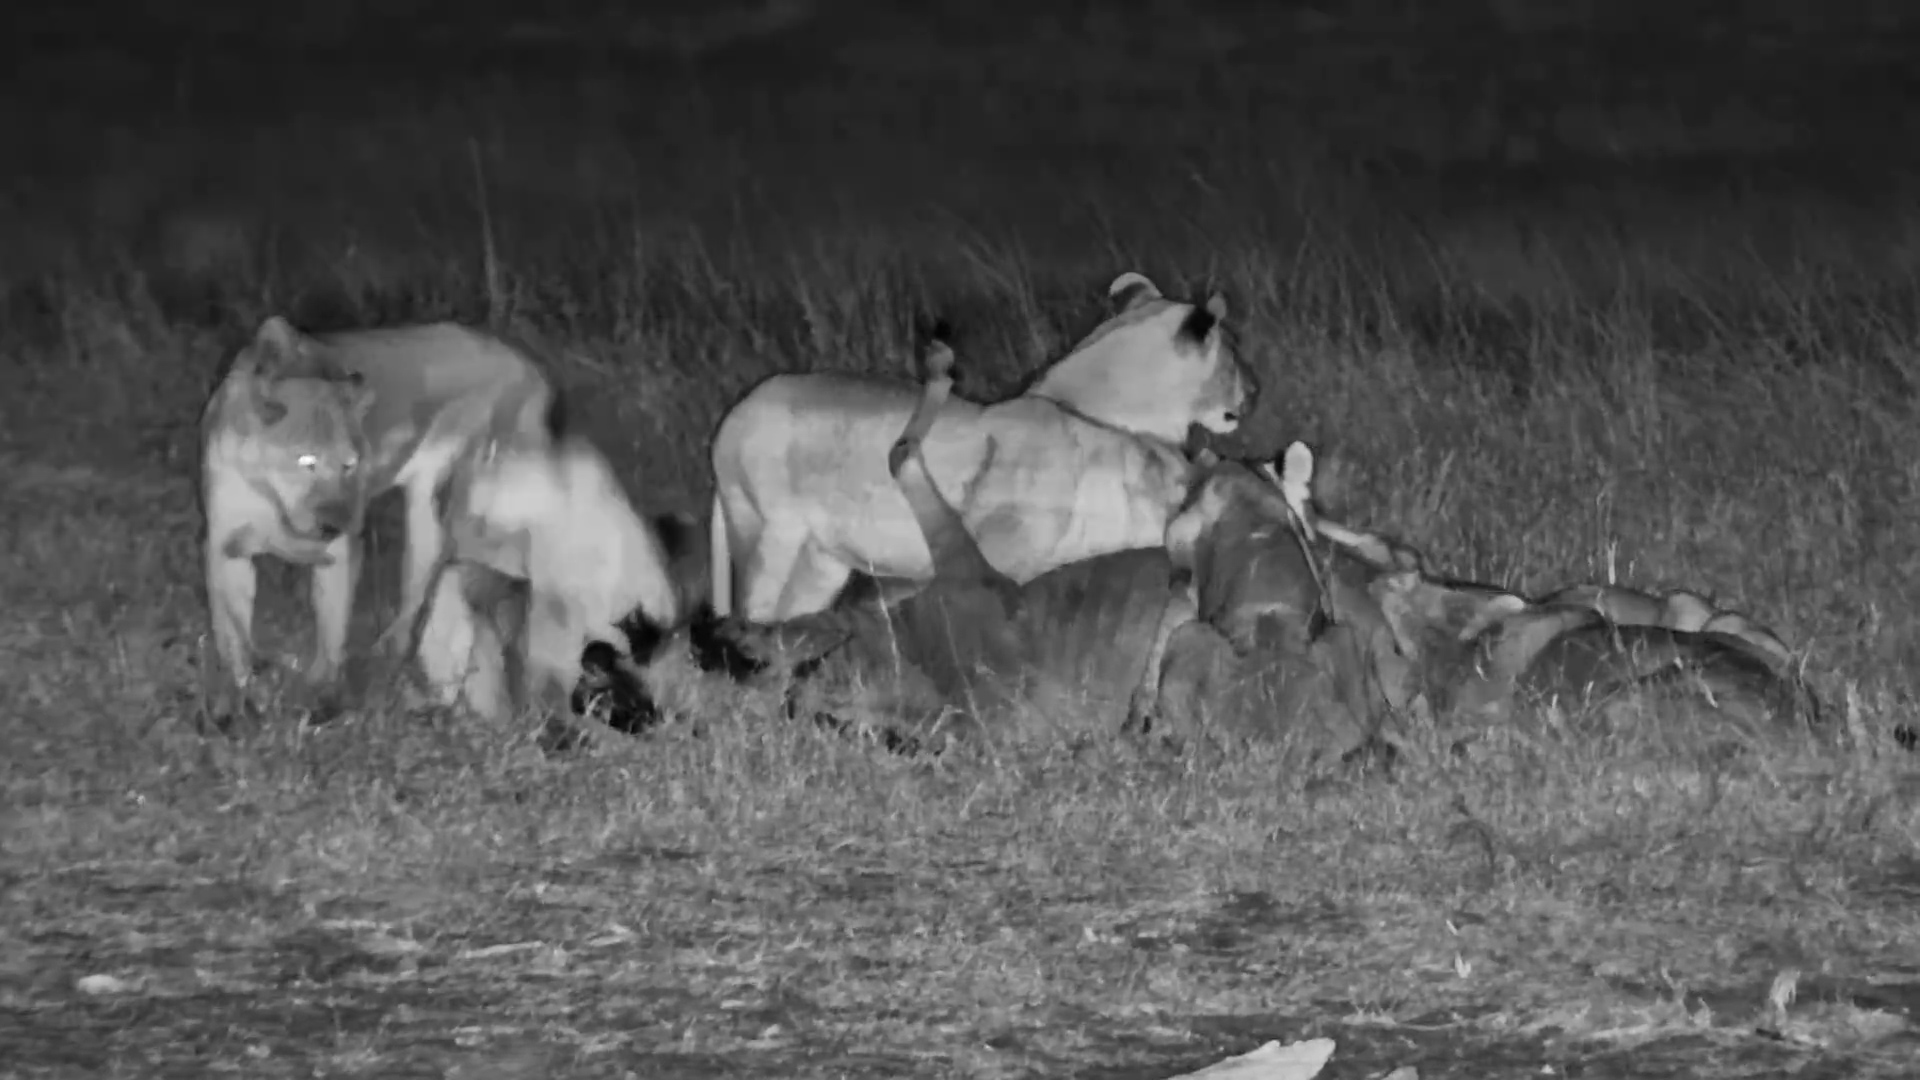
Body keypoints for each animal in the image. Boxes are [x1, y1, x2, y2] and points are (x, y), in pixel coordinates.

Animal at [199, 315, 613, 717]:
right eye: (307, 461)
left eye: (350, 464)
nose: (334, 523)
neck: (272, 499)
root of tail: (531, 366)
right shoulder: (226, 550)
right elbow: (231, 636)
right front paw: (238, 702)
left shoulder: (340, 553)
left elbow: (331, 633)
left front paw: (322, 700)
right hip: (426, 514)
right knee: (421, 594)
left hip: (475, 511)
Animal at [707, 270, 1257, 623]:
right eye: (1233, 354)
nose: (1253, 392)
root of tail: (731, 419)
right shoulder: (1000, 555)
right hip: (772, 538)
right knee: (751, 614)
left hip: (820, 564)